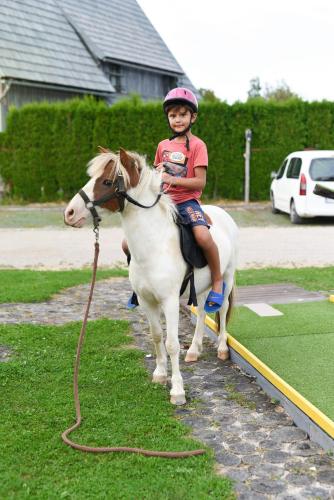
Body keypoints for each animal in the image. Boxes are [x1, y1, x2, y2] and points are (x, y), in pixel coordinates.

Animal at [64, 148, 237, 406]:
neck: (155, 245)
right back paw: (194, 351)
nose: (69, 213)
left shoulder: (169, 301)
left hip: (227, 276)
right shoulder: (147, 301)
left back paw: (223, 348)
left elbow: (172, 343)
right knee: (202, 312)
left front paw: (177, 391)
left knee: (223, 309)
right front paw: (160, 374)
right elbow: (156, 337)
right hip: (202, 286)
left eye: (106, 182)